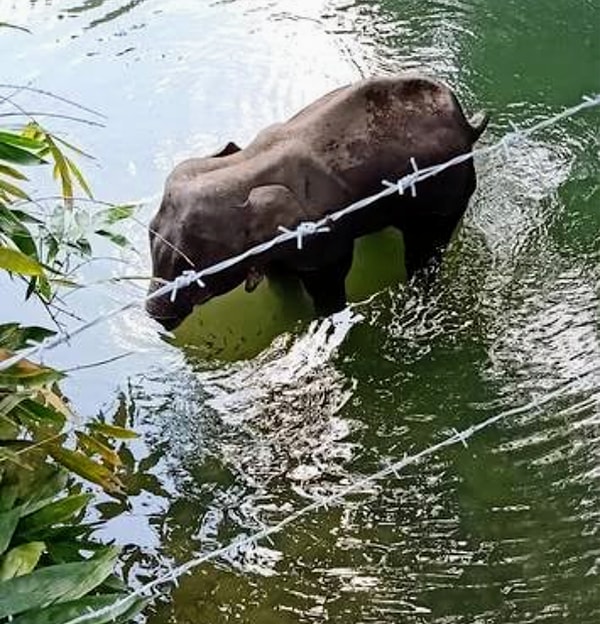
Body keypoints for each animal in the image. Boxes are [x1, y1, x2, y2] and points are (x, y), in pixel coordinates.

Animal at [146, 73, 488, 330]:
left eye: (191, 266)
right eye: (150, 232)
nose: (153, 313)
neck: (245, 167)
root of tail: (467, 124)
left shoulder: (321, 237)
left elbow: (329, 282)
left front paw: (323, 319)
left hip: (448, 190)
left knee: (426, 249)